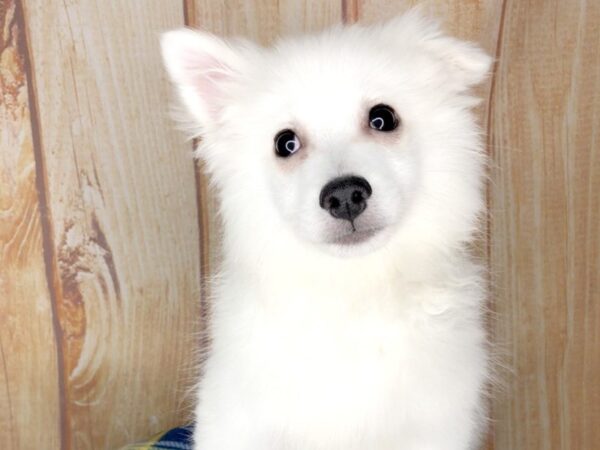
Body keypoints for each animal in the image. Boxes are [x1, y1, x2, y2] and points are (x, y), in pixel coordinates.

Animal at [161, 11, 492, 450]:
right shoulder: (235, 420)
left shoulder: (436, 424)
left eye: (383, 118)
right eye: (285, 143)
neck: (351, 289)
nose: (345, 195)